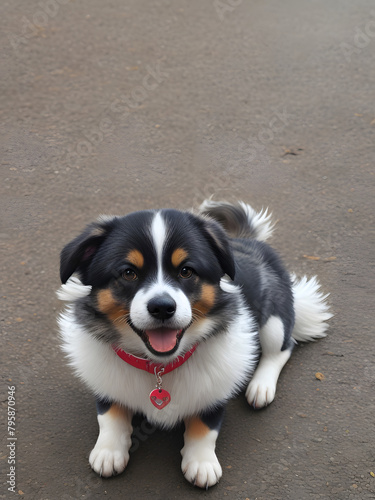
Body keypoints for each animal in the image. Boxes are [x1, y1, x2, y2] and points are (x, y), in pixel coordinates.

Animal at [58, 199, 332, 488]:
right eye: (128, 273)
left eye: (186, 271)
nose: (162, 307)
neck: (159, 366)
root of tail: (247, 240)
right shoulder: (103, 377)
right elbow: (109, 413)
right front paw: (108, 451)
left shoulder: (216, 387)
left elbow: (205, 424)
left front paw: (202, 462)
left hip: (274, 318)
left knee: (283, 346)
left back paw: (261, 386)